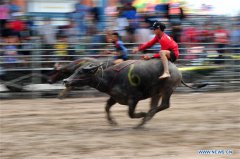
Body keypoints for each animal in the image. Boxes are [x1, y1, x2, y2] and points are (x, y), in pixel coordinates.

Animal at [63, 59, 204, 127]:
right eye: (75, 70)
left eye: (81, 72)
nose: (65, 81)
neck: (111, 78)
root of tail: (177, 70)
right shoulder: (115, 97)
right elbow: (107, 107)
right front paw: (112, 122)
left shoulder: (134, 98)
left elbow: (130, 114)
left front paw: (141, 114)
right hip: (156, 93)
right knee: (155, 106)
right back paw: (144, 120)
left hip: (167, 90)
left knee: (164, 105)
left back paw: (145, 117)